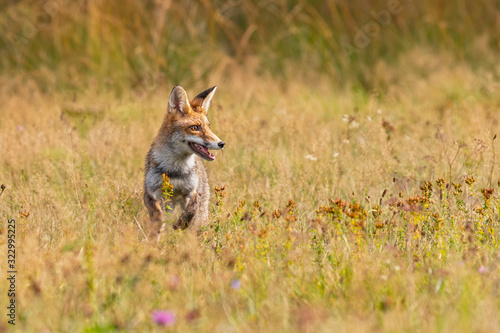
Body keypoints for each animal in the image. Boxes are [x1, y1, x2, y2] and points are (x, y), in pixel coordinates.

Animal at [143, 85, 225, 231]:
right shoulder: (150, 191)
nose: (221, 143)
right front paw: (158, 227)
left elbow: (191, 210)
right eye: (195, 127)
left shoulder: (192, 191)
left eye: (209, 126)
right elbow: (156, 213)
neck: (175, 169)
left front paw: (179, 225)